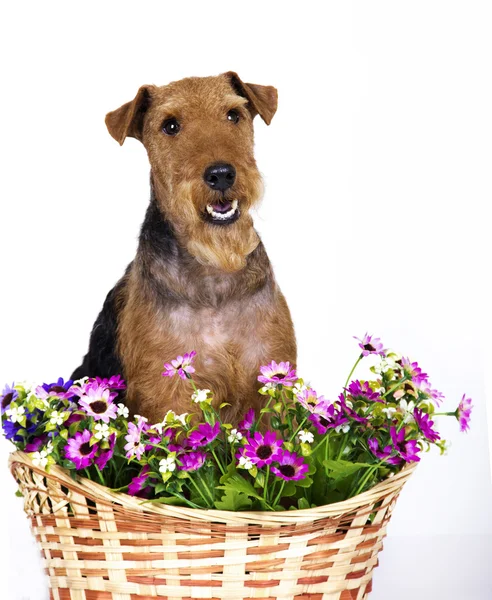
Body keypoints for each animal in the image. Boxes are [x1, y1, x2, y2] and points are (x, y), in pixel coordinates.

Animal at [71, 72, 296, 424]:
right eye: (170, 125)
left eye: (234, 115)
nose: (221, 174)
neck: (214, 275)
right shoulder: (168, 394)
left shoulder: (270, 372)